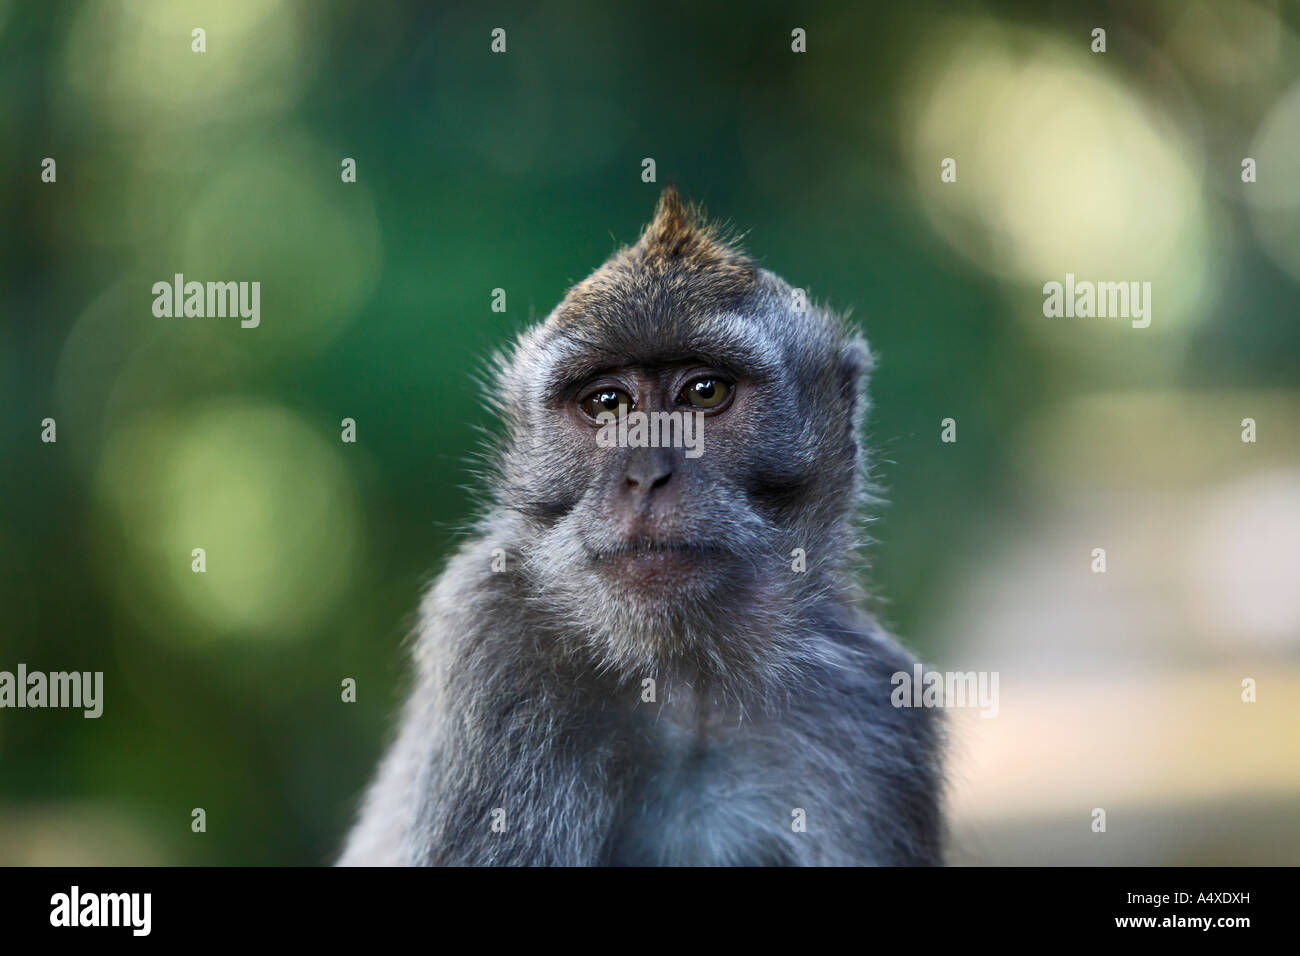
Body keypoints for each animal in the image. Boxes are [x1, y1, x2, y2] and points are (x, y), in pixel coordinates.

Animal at [338, 186, 944, 866]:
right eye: (608, 403)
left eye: (704, 392)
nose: (647, 475)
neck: (684, 681)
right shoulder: (489, 638)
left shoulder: (875, 712)